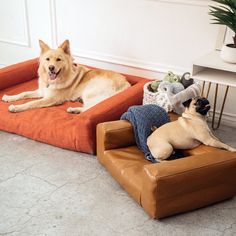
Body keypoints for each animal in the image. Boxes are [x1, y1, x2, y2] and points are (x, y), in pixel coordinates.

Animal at [2, 40, 131, 113]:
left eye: (59, 59)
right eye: (47, 59)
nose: (51, 68)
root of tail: (125, 84)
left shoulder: (51, 99)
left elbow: (31, 103)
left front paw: (16, 108)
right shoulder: (42, 91)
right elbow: (24, 93)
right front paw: (9, 97)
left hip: (90, 91)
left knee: (90, 109)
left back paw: (74, 110)